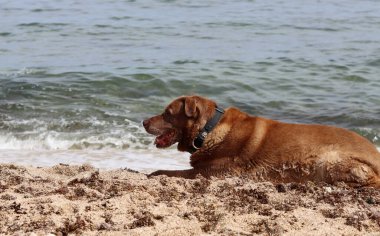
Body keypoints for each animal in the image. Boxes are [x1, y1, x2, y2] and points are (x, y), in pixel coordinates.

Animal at [142, 95, 380, 187]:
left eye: (167, 113)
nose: (143, 121)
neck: (208, 131)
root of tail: (375, 152)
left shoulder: (219, 170)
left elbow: (172, 172)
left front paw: (154, 173)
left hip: (329, 160)